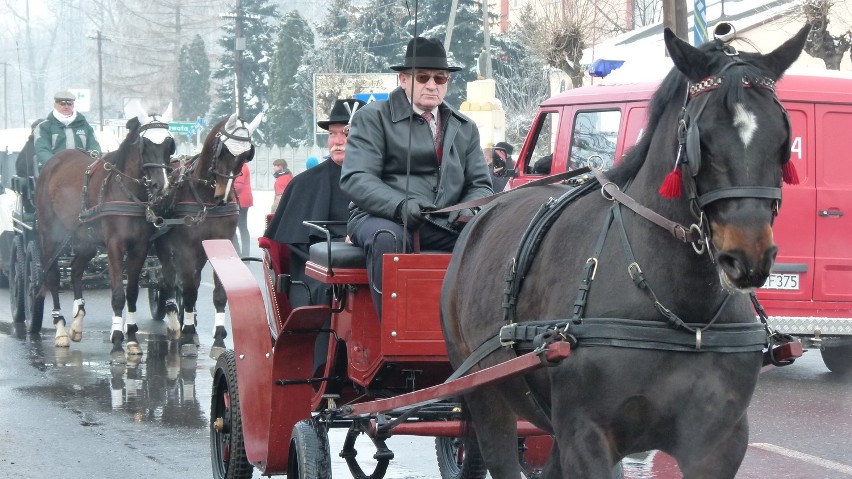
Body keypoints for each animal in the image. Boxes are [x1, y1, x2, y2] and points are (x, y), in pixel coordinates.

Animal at [152, 112, 260, 358]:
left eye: (246, 155)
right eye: (223, 151)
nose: (223, 196)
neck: (206, 200)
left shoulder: (223, 244)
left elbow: (220, 292)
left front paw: (219, 338)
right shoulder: (186, 248)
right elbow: (190, 289)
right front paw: (188, 334)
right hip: (165, 248)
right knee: (171, 279)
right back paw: (177, 320)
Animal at [442, 27, 808, 479]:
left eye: (782, 139)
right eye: (700, 138)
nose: (748, 256)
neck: (682, 314)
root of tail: (484, 211)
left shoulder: (718, 445)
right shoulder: (587, 436)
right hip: (485, 392)